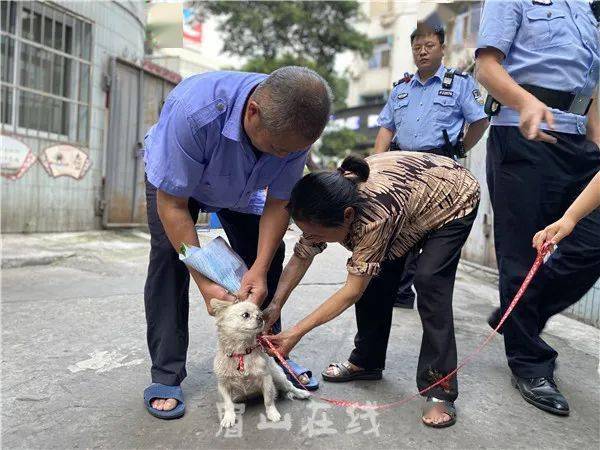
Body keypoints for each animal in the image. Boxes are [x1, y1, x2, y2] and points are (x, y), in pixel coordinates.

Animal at [210, 300, 310, 428]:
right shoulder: (223, 385)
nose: (260, 317)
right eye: (246, 315)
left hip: (278, 377)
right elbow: (228, 404)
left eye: (259, 313)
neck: (242, 353)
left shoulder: (266, 378)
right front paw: (228, 417)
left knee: (290, 386)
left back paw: (302, 393)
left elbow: (268, 399)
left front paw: (272, 413)